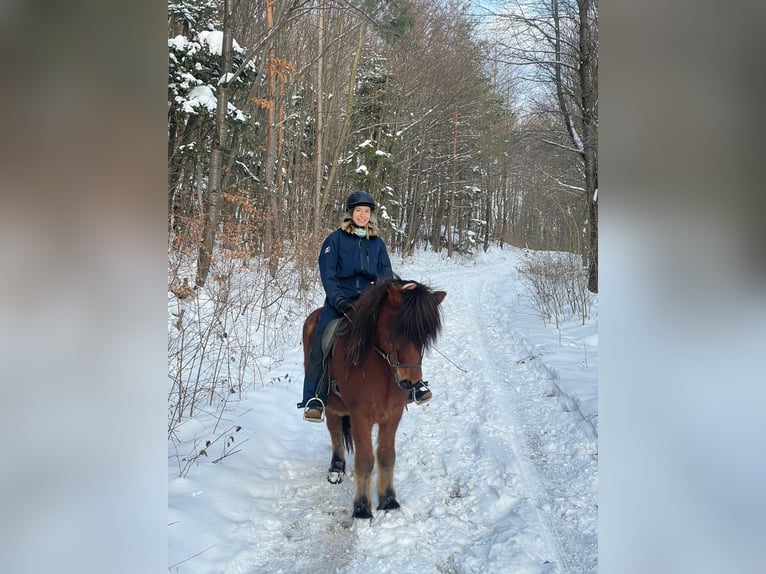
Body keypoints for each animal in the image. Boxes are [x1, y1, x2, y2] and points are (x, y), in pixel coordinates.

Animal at [302, 278, 446, 519]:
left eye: (425, 335)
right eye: (398, 329)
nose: (410, 381)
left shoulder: (392, 414)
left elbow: (386, 456)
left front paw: (388, 501)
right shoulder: (361, 416)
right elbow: (365, 459)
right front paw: (361, 508)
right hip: (331, 405)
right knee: (334, 431)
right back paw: (336, 470)